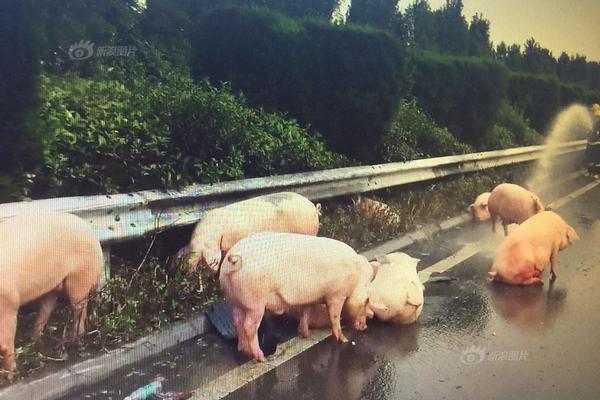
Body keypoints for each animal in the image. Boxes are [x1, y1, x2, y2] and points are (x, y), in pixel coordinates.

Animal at [0, 211, 103, 380]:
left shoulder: (9, 303)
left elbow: (5, 343)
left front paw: (9, 377)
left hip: (80, 276)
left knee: (79, 309)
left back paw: (73, 340)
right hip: (53, 287)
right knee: (46, 310)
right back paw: (33, 342)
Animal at [218, 231, 372, 362]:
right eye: (365, 304)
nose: (365, 326)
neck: (355, 281)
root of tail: (233, 258)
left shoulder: (310, 297)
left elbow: (306, 312)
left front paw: (307, 334)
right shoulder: (336, 295)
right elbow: (334, 317)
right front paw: (344, 340)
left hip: (233, 299)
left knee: (237, 321)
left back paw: (244, 351)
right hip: (255, 302)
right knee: (249, 326)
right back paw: (261, 358)